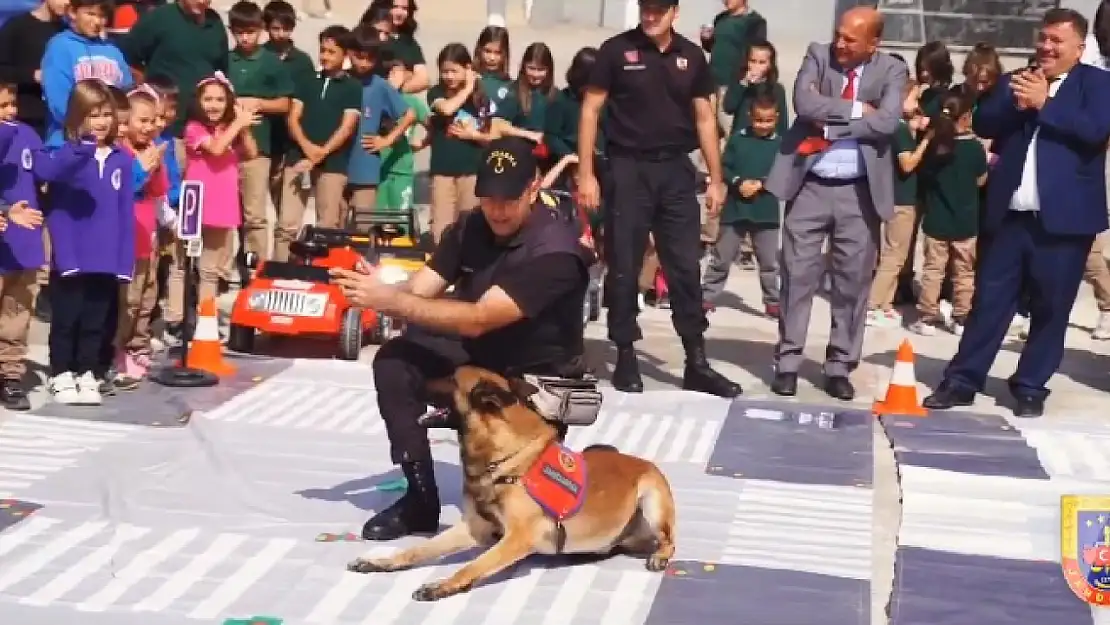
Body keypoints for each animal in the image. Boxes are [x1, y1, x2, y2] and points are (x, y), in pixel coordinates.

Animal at [348, 366, 674, 599]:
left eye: (451, 379)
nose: (411, 380)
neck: (504, 460)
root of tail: (646, 463)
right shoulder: (475, 528)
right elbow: (417, 550)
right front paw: (381, 562)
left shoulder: (517, 537)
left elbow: (473, 565)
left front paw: (442, 585)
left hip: (651, 501)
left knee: (669, 542)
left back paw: (659, 556)